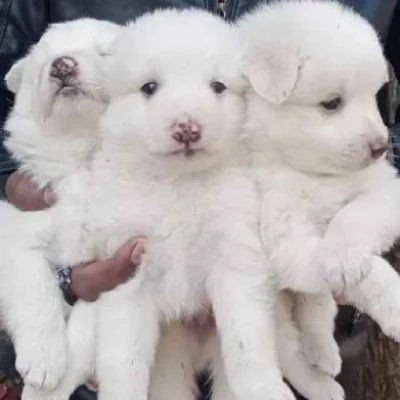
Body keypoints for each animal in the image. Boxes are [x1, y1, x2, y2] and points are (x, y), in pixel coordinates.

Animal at [1, 17, 120, 390]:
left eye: (105, 52)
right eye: (43, 61)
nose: (62, 65)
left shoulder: (109, 270)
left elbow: (82, 336)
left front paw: (48, 386)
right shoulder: (18, 234)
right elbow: (36, 291)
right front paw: (43, 361)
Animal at [21, 7, 296, 400]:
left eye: (217, 87)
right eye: (149, 88)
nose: (186, 128)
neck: (177, 184)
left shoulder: (237, 259)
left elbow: (248, 341)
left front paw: (265, 389)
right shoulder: (127, 275)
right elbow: (123, 358)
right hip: (170, 360)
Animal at [239, 0, 400, 382]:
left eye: (374, 97)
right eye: (332, 103)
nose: (380, 146)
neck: (313, 175)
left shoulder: (384, 189)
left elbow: (356, 216)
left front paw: (343, 254)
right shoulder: (286, 241)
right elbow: (361, 274)